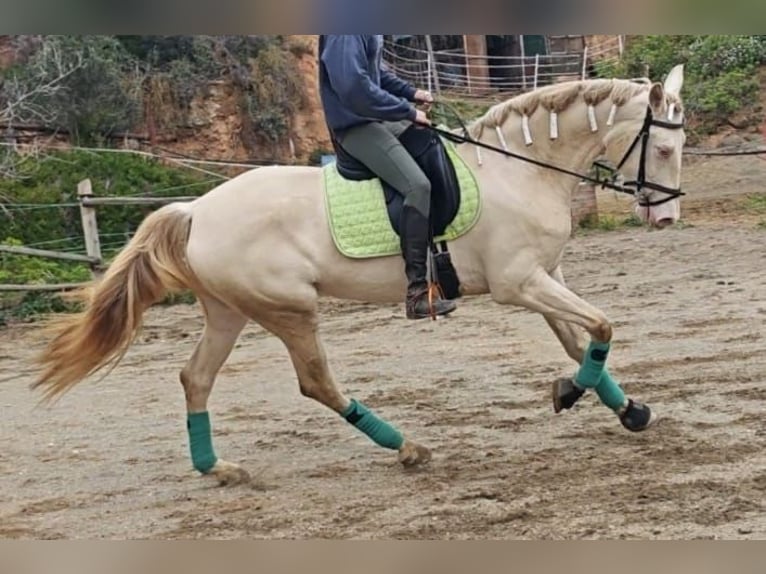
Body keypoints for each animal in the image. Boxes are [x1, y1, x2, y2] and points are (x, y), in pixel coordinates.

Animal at [30, 64, 688, 486]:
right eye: (662, 150)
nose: (666, 216)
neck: (518, 171)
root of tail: (196, 210)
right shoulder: (519, 283)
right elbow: (601, 325)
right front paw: (575, 392)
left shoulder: (547, 274)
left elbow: (582, 339)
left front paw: (621, 407)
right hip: (289, 309)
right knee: (316, 383)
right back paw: (409, 448)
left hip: (230, 311)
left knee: (196, 378)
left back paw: (218, 468)